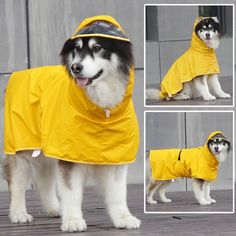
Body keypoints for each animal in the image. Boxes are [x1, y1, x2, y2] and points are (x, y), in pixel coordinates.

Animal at [1, 15, 141, 232]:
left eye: (98, 47)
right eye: (76, 48)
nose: (76, 67)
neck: (102, 112)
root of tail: (18, 75)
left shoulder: (116, 155)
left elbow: (118, 193)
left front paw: (123, 218)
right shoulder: (69, 156)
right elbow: (71, 193)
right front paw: (73, 221)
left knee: (43, 178)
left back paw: (53, 208)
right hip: (21, 148)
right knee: (16, 182)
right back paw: (18, 213)